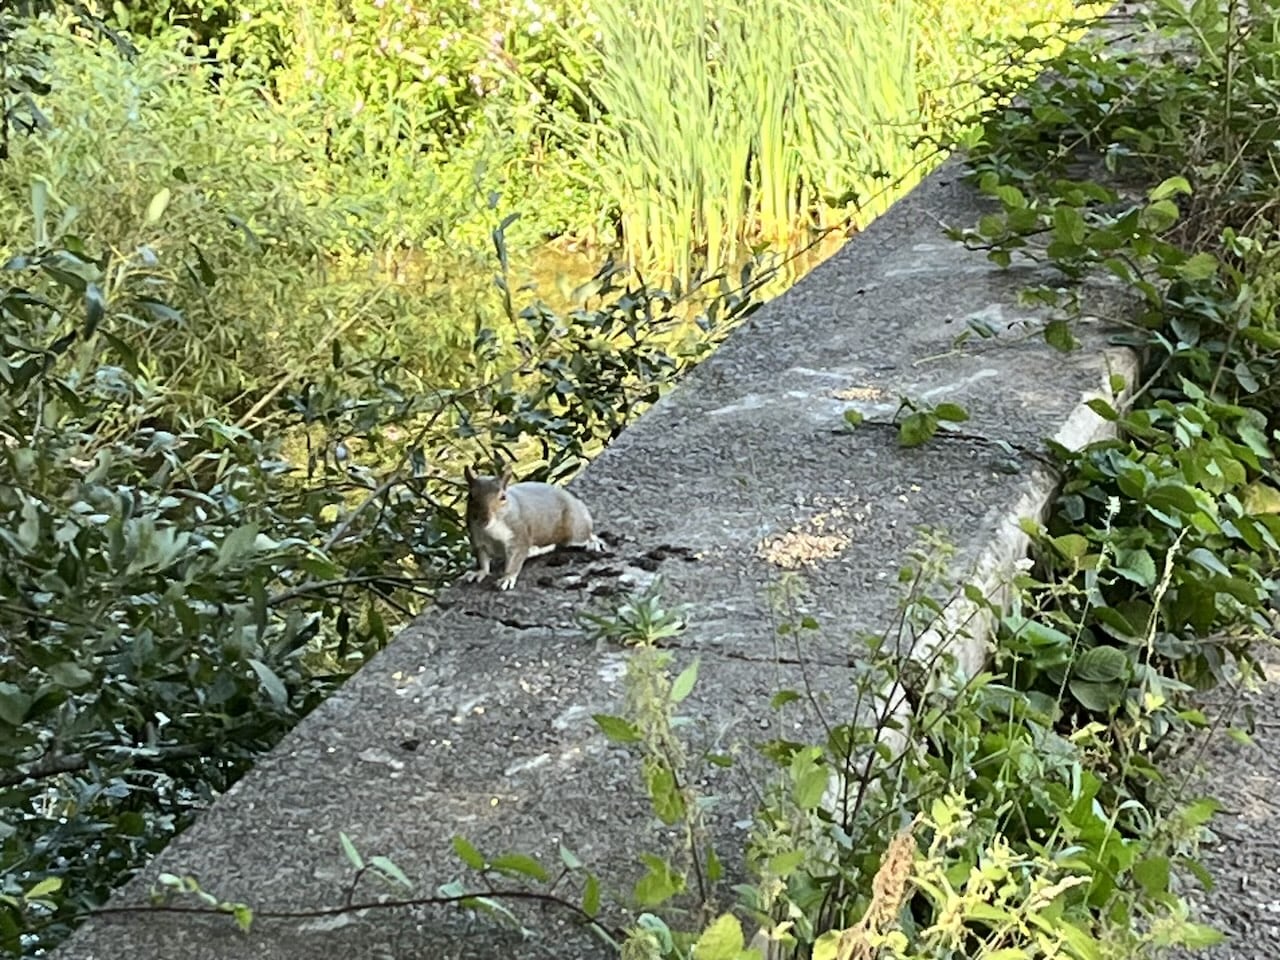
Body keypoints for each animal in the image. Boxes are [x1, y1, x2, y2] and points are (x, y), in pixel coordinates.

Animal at [460, 463, 604, 591]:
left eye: (503, 497)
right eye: (470, 496)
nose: (484, 520)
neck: (490, 530)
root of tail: (574, 500)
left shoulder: (518, 536)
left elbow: (515, 561)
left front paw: (507, 578)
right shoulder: (478, 540)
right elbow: (483, 560)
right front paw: (479, 572)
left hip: (575, 531)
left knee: (587, 534)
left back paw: (594, 542)